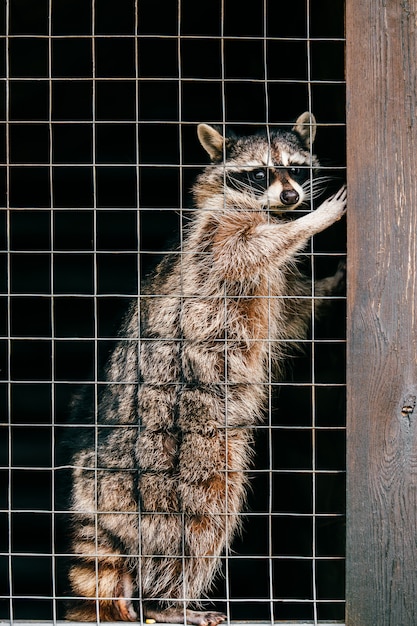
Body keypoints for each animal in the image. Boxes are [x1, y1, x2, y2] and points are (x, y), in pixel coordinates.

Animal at [66, 109, 344, 620]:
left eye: (295, 169)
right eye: (259, 174)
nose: (292, 197)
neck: (261, 208)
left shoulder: (278, 286)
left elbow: (294, 312)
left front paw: (332, 281)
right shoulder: (216, 243)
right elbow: (255, 248)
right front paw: (312, 223)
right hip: (173, 457)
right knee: (198, 517)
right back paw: (168, 601)